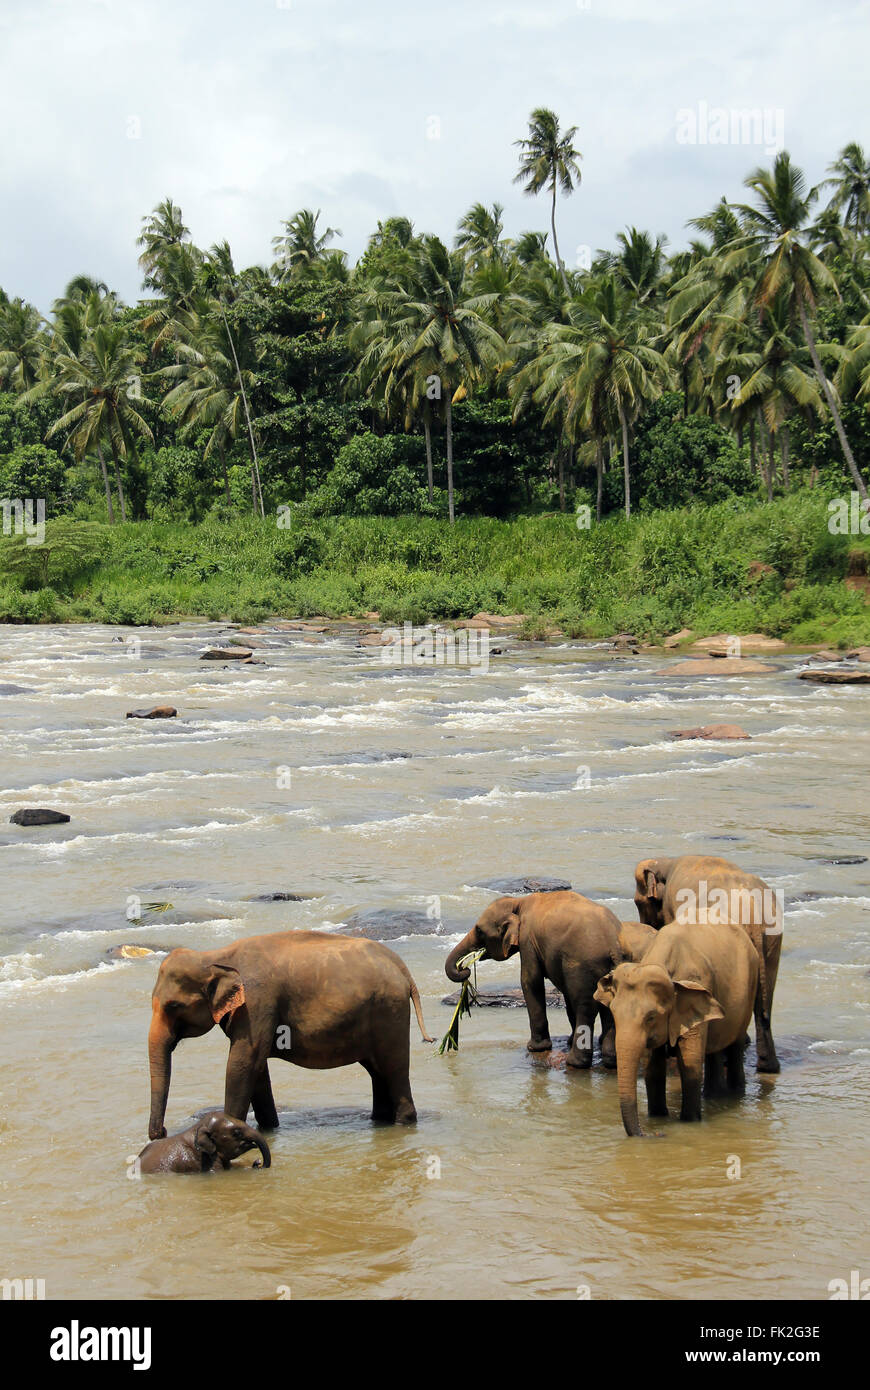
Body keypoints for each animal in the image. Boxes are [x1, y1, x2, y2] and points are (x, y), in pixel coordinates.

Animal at [148, 931, 433, 1140]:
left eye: (173, 1006)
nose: (161, 1133)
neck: (214, 956)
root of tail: (402, 968)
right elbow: (257, 1069)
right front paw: (269, 1129)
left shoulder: (257, 1004)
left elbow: (242, 1064)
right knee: (378, 1072)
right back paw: (379, 1121)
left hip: (389, 1012)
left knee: (394, 1069)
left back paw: (404, 1123)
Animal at [444, 891, 622, 1068]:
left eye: (479, 930)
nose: (464, 968)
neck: (517, 902)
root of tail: (613, 945)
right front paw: (567, 1041)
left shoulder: (527, 939)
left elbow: (530, 980)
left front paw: (534, 1048)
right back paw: (610, 1061)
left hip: (582, 964)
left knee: (584, 1006)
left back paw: (575, 1063)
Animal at [594, 918, 759, 1136]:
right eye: (613, 1013)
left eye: (651, 1017)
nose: (652, 1134)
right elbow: (652, 1067)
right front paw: (658, 1117)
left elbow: (690, 1062)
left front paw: (689, 1121)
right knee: (714, 1048)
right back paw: (713, 1096)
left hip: (750, 990)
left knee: (736, 1044)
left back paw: (736, 1094)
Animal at [633, 855, 782, 1073]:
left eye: (638, 902)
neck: (666, 861)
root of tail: (752, 911)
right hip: (772, 939)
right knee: (765, 997)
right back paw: (767, 1066)